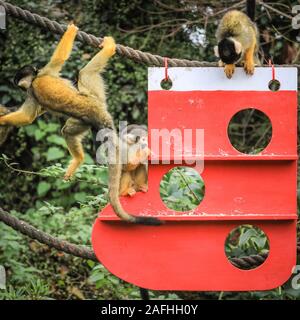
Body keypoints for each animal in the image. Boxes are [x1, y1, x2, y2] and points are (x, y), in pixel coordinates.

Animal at [0, 23, 162, 226]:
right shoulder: (39, 80)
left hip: (87, 115)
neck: (33, 82)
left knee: (68, 128)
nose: (19, 85)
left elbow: (29, 114)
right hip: (94, 100)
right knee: (85, 75)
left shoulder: (35, 85)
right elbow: (58, 61)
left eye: (18, 81)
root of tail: (97, 115)